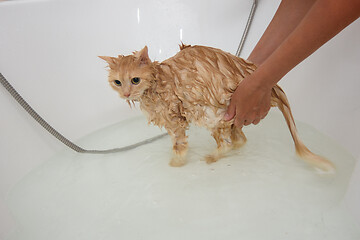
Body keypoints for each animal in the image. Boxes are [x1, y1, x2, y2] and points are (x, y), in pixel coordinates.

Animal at [98, 43, 334, 172]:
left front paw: (176, 163)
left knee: (228, 143)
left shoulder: (175, 119)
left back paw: (212, 157)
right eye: (117, 82)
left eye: (135, 80)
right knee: (241, 140)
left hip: (211, 113)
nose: (126, 94)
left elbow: (179, 145)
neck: (156, 82)